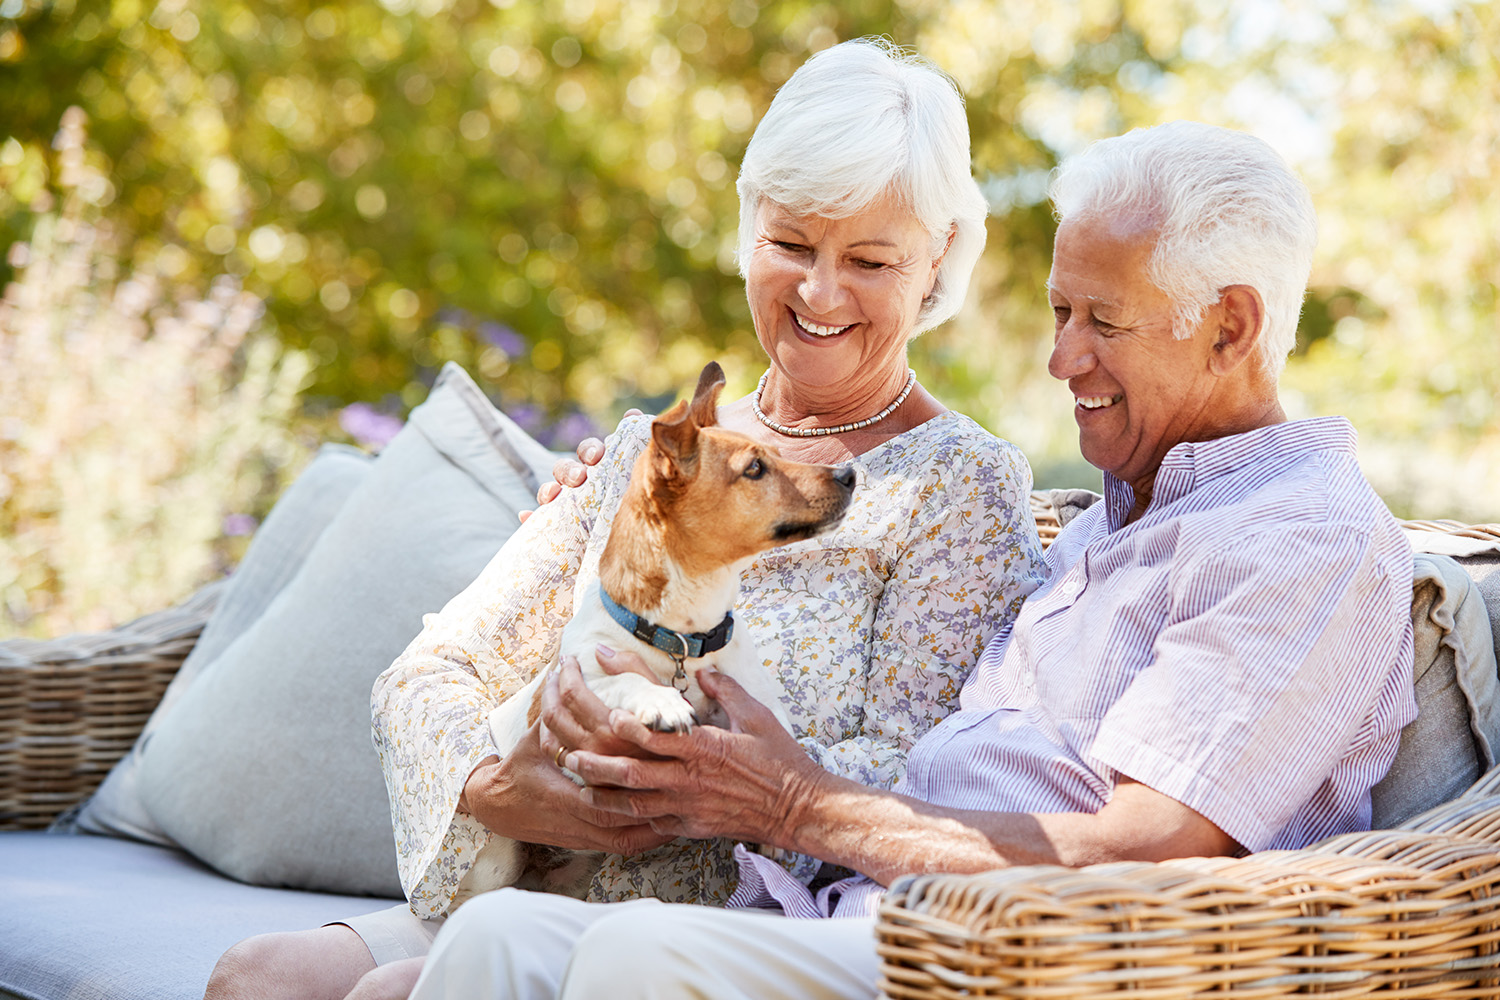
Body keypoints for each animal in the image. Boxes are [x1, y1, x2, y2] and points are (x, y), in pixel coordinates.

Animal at [450, 364, 858, 911]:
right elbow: (624, 680)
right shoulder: (578, 680)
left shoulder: (748, 700)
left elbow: (777, 732)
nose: (850, 474)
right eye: (755, 469)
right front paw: (661, 702)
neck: (686, 638)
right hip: (497, 861)